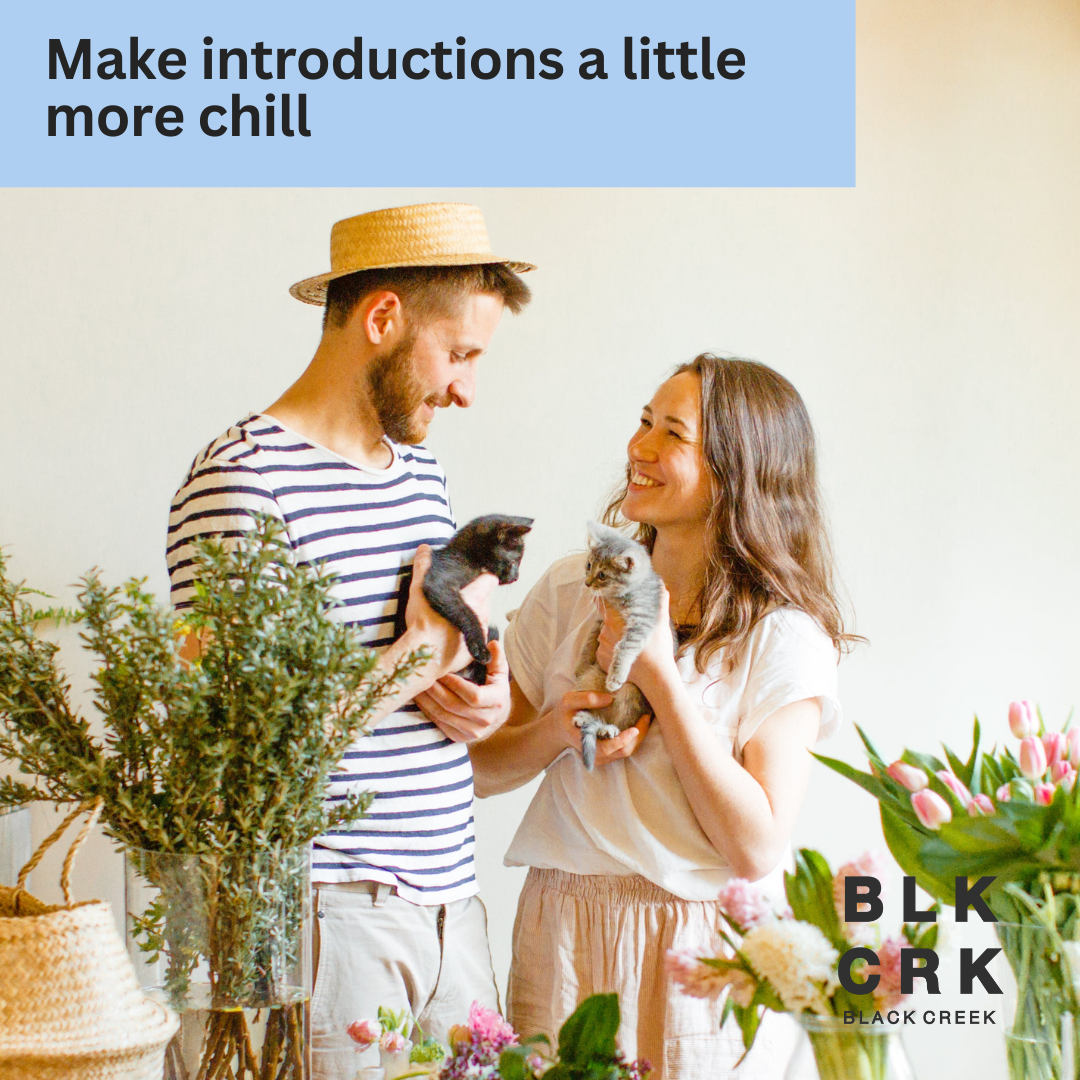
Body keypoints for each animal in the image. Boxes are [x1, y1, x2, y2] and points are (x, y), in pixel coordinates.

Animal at [416, 514, 531, 682]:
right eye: (514, 562)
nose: (516, 577)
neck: (468, 556)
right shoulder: (440, 583)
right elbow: (467, 613)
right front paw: (479, 647)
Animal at [574, 520, 665, 768]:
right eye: (588, 565)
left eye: (602, 575)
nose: (587, 583)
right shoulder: (601, 620)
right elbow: (591, 638)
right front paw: (580, 663)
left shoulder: (641, 622)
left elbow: (624, 647)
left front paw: (615, 675)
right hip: (592, 678)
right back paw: (586, 717)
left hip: (632, 693)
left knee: (624, 722)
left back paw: (610, 730)